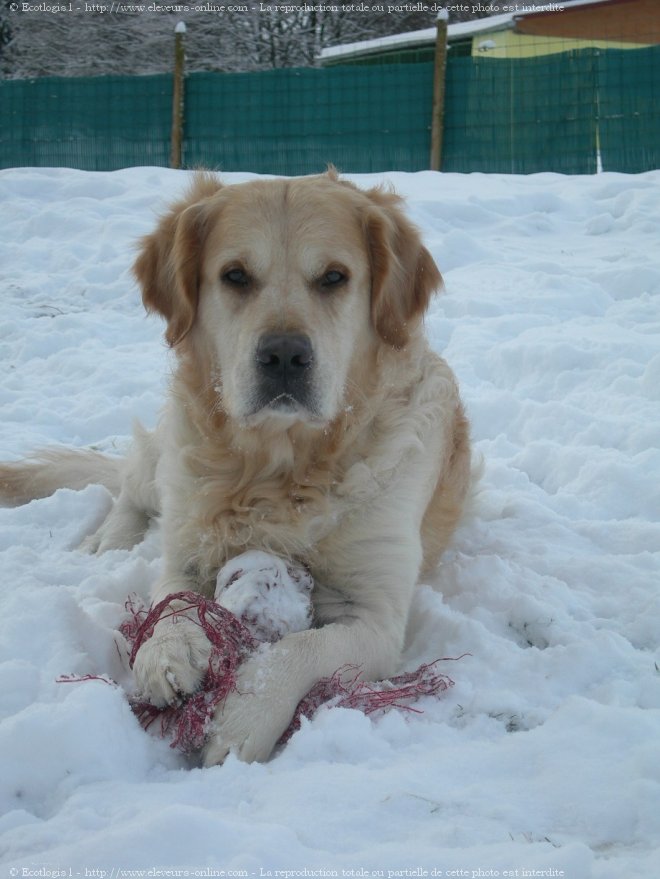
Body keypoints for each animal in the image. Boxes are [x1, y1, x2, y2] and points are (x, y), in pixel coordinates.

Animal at [0, 170, 470, 764]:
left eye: (334, 277)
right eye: (235, 276)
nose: (285, 356)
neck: (281, 469)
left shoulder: (377, 617)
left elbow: (303, 644)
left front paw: (241, 719)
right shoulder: (186, 545)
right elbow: (173, 601)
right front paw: (166, 654)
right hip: (166, 457)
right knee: (131, 486)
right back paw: (108, 540)